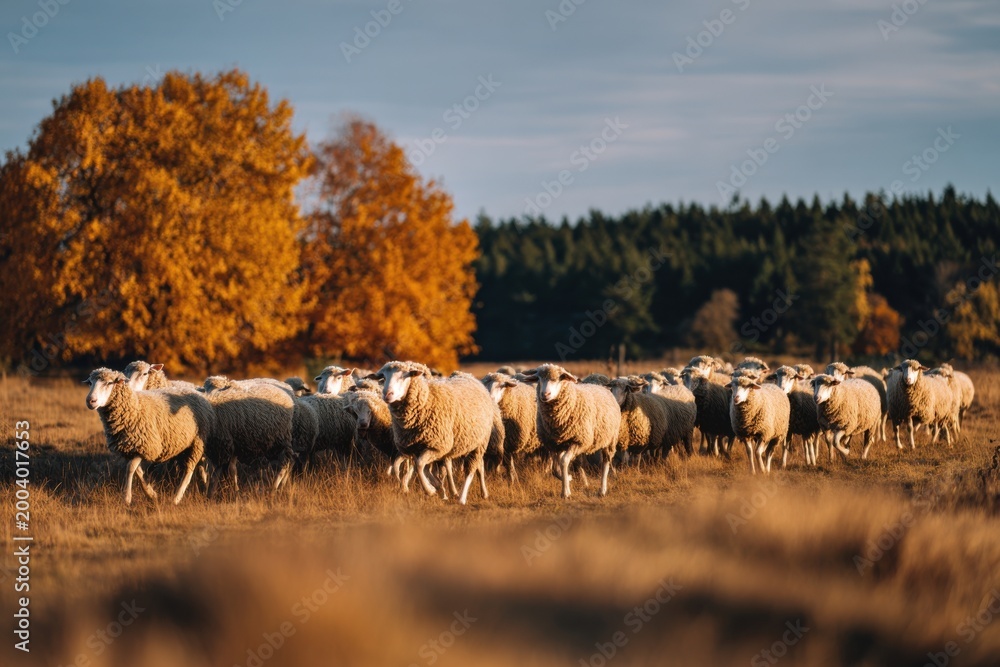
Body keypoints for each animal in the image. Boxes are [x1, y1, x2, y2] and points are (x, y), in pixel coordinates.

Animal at [84, 368, 213, 505]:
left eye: (109, 383)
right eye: (90, 383)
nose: (90, 401)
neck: (135, 408)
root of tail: (195, 391)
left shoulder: (146, 445)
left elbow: (130, 468)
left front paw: (127, 498)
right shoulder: (131, 449)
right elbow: (139, 471)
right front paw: (151, 493)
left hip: (197, 442)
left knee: (189, 469)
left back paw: (177, 498)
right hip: (183, 444)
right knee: (197, 466)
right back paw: (202, 485)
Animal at [376, 361, 503, 505]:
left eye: (405, 376)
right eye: (383, 378)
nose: (387, 394)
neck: (426, 400)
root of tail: (471, 377)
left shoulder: (437, 446)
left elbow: (419, 466)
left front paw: (430, 490)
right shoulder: (416, 449)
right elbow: (422, 467)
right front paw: (438, 488)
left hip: (480, 443)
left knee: (470, 470)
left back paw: (462, 497)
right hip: (470, 441)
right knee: (478, 466)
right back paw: (481, 493)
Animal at [521, 364, 621, 499]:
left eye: (558, 379)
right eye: (538, 378)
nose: (545, 394)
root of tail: (602, 387)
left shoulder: (578, 441)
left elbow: (563, 462)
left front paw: (565, 492)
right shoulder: (554, 444)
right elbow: (555, 468)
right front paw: (567, 478)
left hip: (610, 439)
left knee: (605, 463)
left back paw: (602, 490)